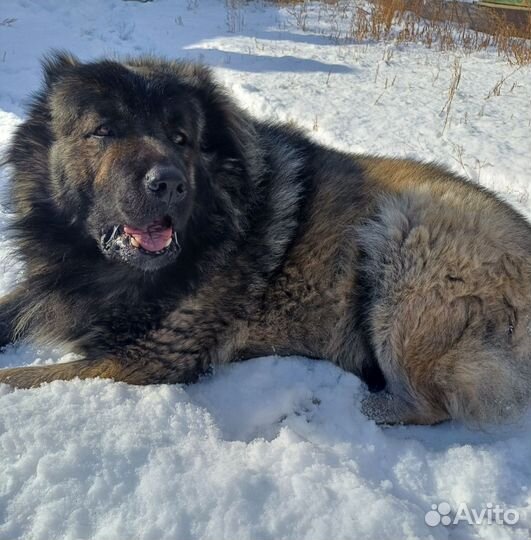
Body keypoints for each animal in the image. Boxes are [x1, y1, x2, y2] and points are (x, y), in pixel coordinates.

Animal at [1, 52, 531, 426]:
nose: (169, 183)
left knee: (427, 404)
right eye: (103, 131)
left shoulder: (145, 360)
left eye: (180, 138)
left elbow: (17, 379)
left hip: (403, 247)